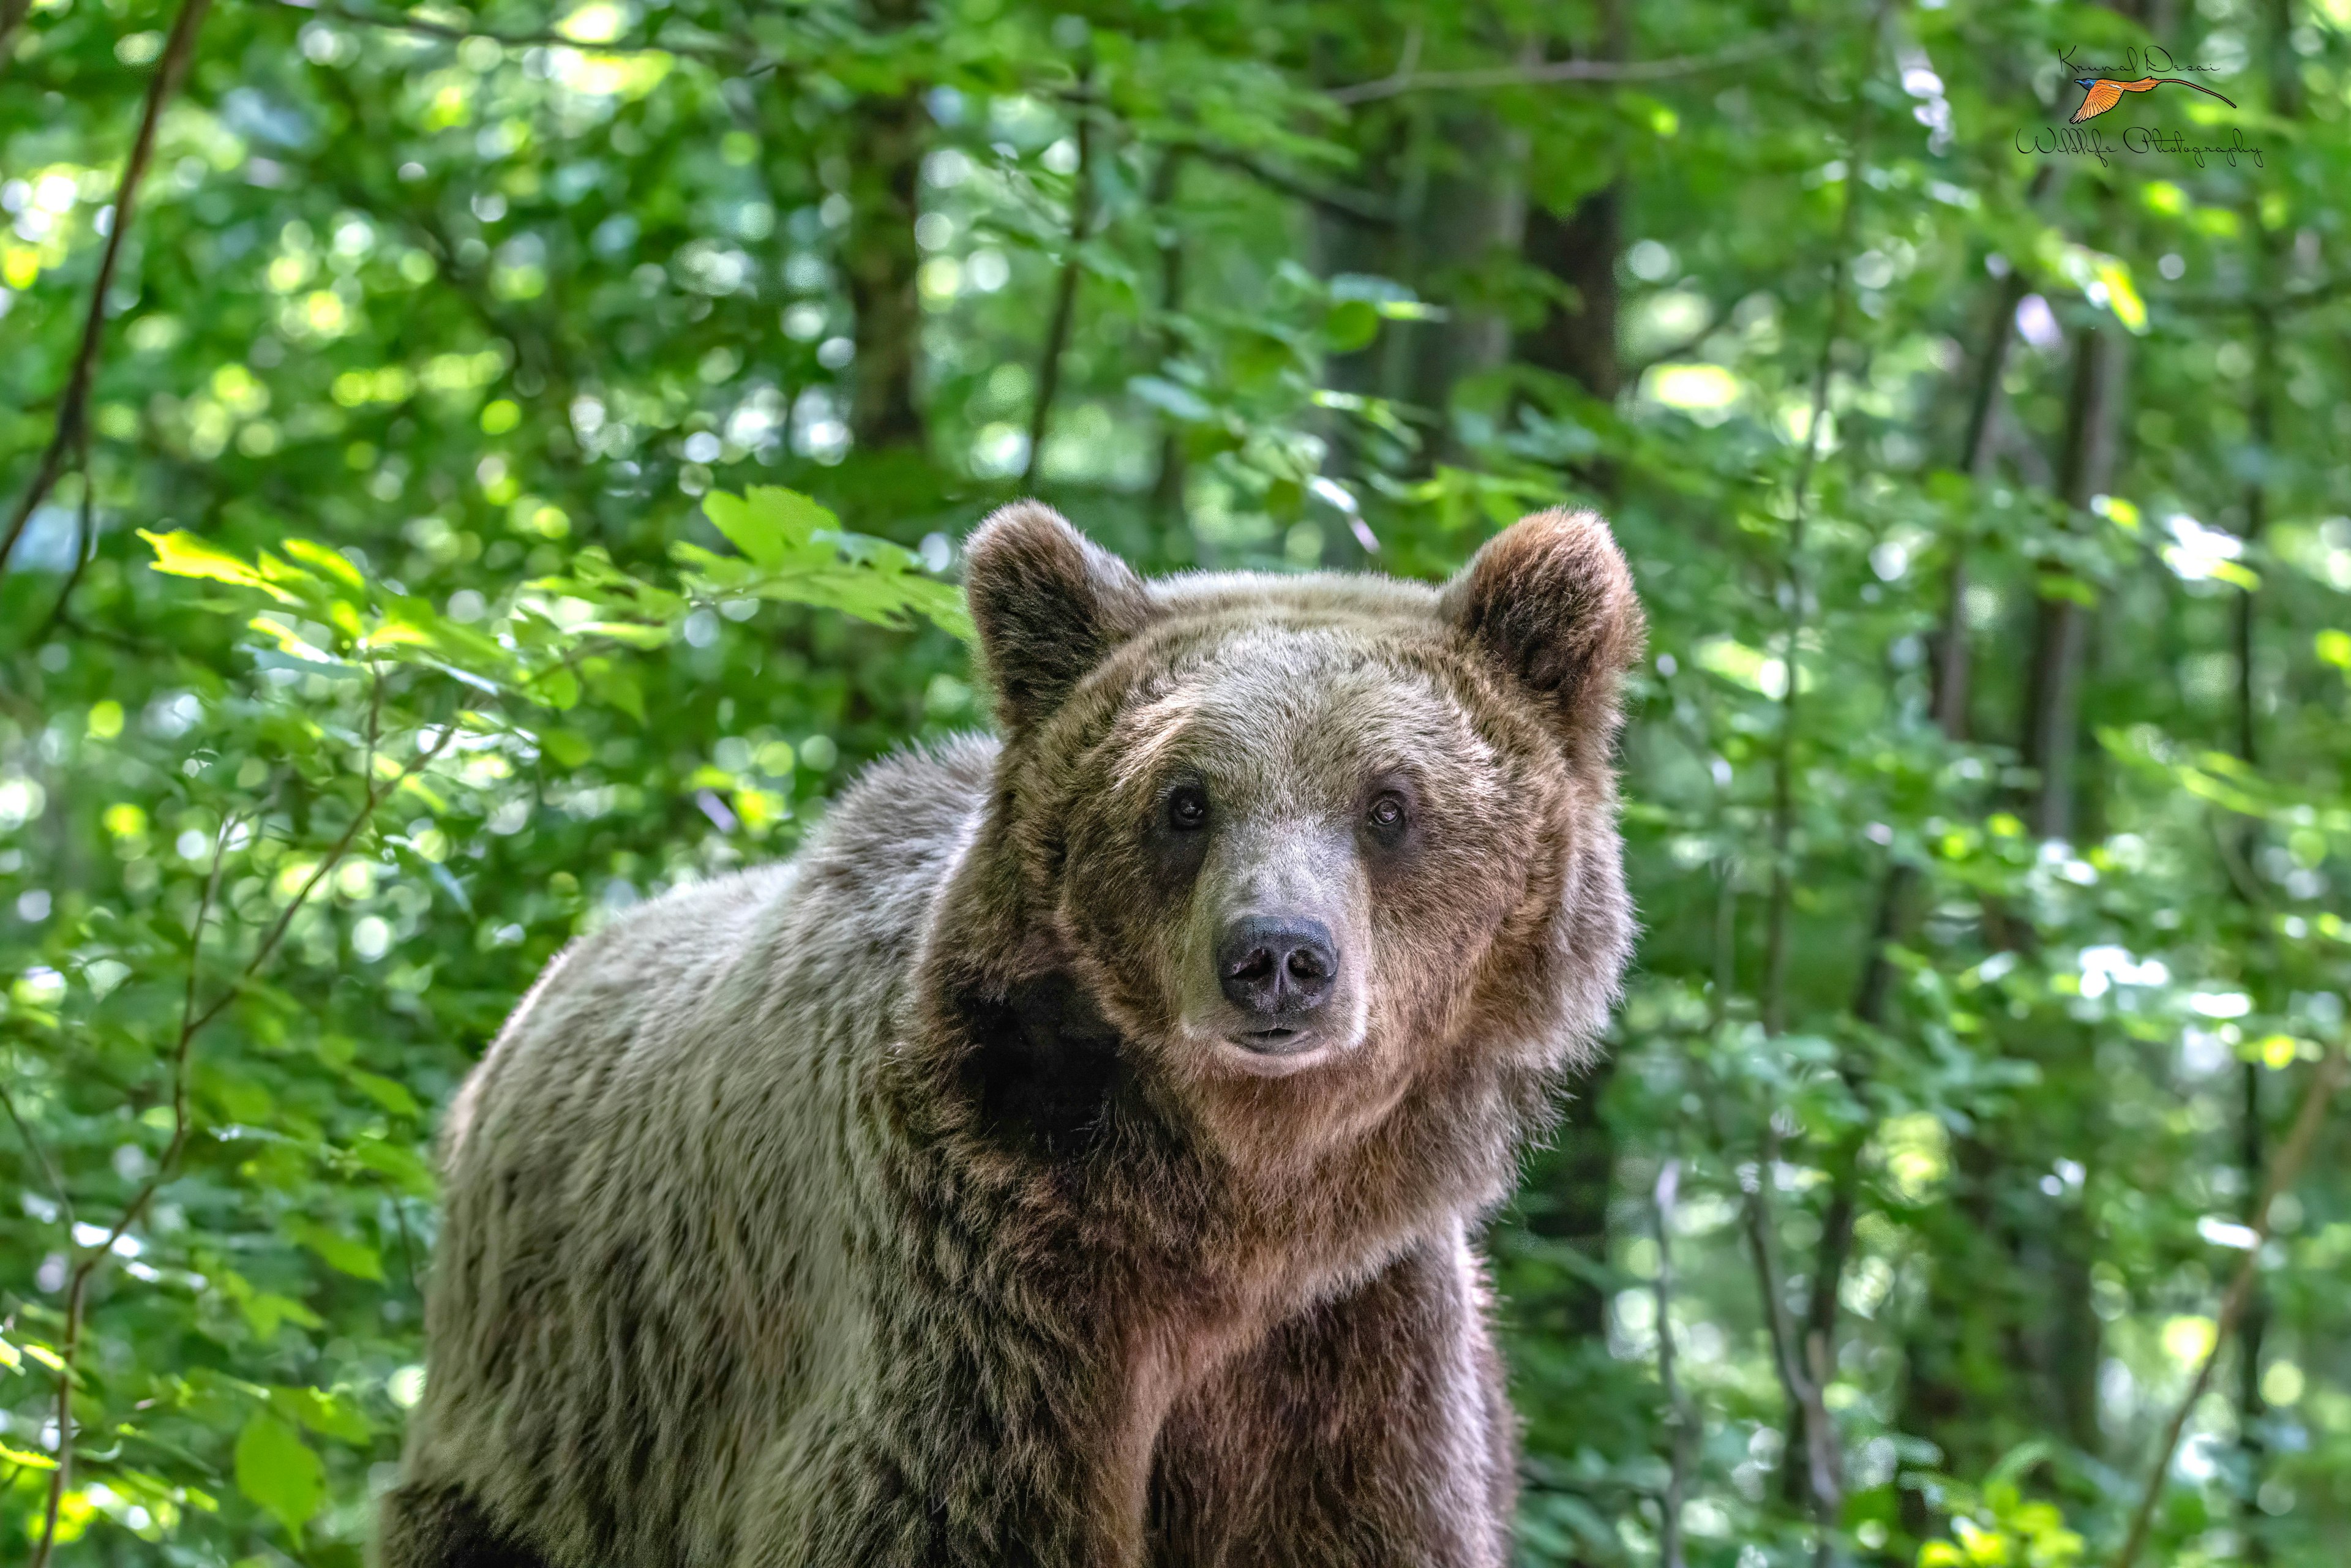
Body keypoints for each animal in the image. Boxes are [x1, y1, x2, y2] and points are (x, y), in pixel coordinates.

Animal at [376, 503, 1646, 1568]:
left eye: (1389, 803)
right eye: (1184, 801)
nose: (1277, 957)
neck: (1227, 1211)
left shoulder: (1350, 1336)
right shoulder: (981, 1289)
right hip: (549, 1423)